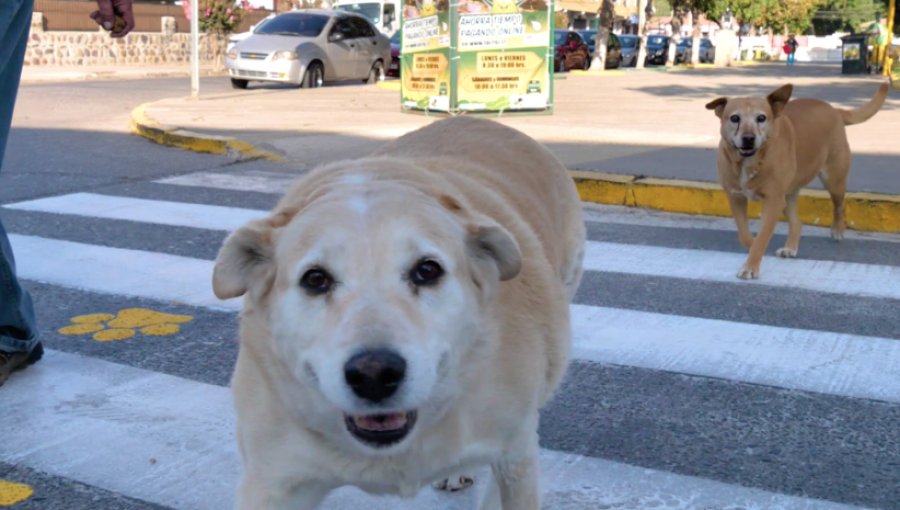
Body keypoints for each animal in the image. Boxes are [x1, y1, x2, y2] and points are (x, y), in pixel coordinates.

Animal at [214, 116, 588, 510]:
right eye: (315, 279)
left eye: (427, 270)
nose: (374, 375)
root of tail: (479, 118)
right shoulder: (272, 482)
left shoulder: (515, 456)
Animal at [708, 81, 888, 278]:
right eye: (734, 118)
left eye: (761, 118)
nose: (748, 138)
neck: (750, 162)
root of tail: (835, 110)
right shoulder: (736, 198)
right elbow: (745, 234)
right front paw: (751, 247)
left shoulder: (773, 201)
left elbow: (762, 237)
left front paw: (751, 265)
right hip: (788, 193)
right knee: (797, 221)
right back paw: (791, 247)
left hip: (833, 179)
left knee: (839, 204)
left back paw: (837, 229)